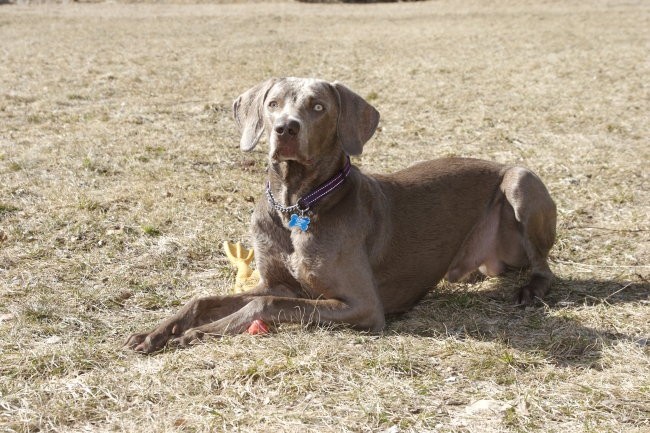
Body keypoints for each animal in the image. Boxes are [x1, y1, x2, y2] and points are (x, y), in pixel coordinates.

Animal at [124, 77, 556, 352]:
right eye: (272, 104)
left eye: (318, 106)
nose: (285, 129)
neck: (296, 204)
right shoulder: (280, 283)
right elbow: (204, 300)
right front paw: (155, 333)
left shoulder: (363, 306)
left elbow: (263, 306)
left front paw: (194, 335)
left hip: (520, 182)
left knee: (544, 266)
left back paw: (530, 290)